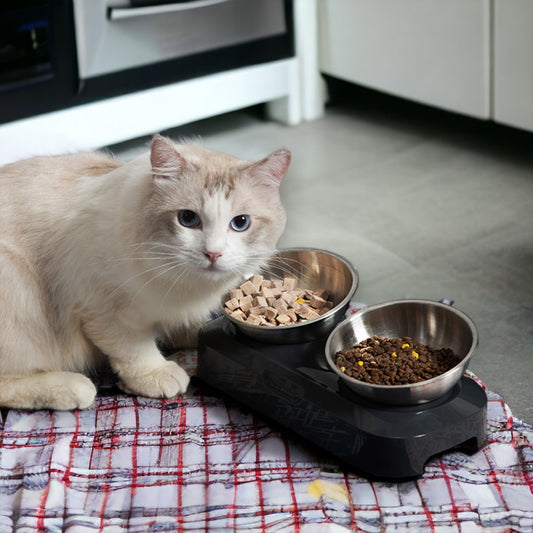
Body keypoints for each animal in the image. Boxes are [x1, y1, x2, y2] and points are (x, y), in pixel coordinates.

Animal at [0, 135, 290, 410]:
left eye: (240, 223)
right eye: (187, 219)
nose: (213, 254)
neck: (185, 285)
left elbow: (194, 328)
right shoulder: (103, 309)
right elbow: (135, 350)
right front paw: (158, 373)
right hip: (16, 288)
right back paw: (72, 387)